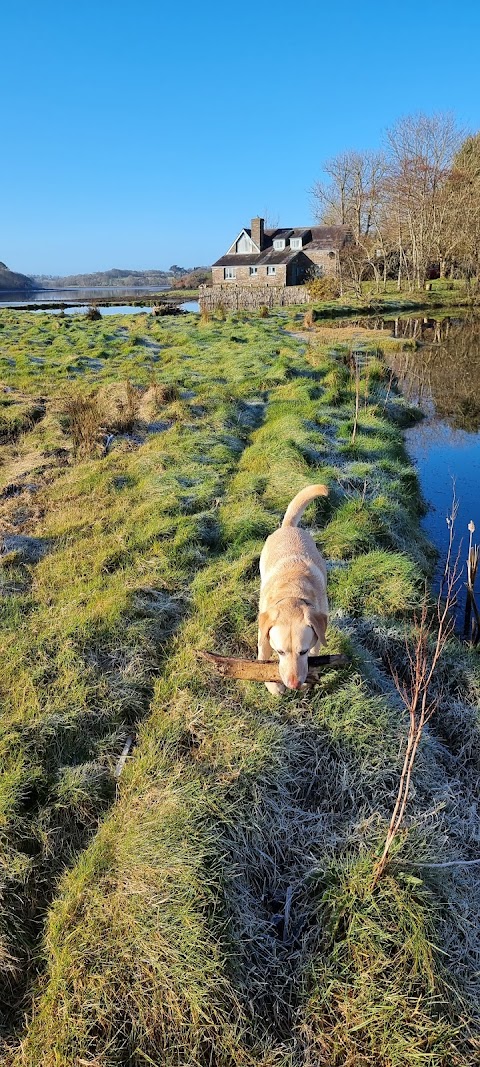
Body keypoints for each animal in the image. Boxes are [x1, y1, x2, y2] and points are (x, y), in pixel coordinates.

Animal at [259, 482, 330, 691]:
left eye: (303, 651)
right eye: (280, 651)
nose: (294, 685)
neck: (292, 594)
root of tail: (289, 526)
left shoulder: (317, 640)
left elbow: (315, 654)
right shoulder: (263, 634)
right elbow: (262, 656)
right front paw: (274, 687)